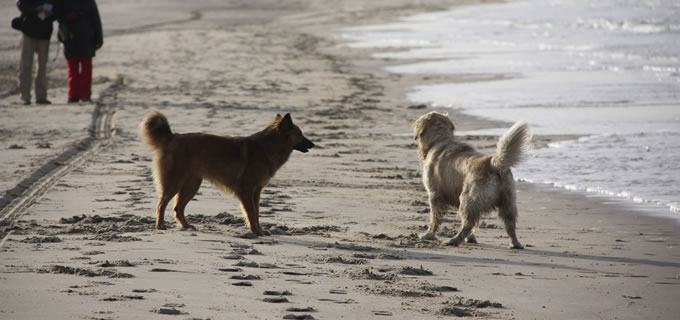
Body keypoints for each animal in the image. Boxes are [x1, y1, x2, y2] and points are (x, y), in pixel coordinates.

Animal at [142, 110, 318, 235]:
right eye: (299, 133)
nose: (313, 144)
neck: (267, 147)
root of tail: (172, 137)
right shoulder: (246, 190)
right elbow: (251, 213)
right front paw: (256, 232)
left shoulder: (256, 192)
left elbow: (257, 213)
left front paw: (260, 230)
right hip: (174, 182)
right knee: (161, 204)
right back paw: (160, 225)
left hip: (192, 185)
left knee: (178, 208)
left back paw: (186, 226)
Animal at [414, 112, 532, 250]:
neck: (441, 140)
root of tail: (493, 163)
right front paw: (470, 238)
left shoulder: (434, 195)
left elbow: (434, 219)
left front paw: (428, 235)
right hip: (508, 202)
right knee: (510, 225)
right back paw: (515, 244)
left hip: (467, 199)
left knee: (468, 223)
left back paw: (453, 240)